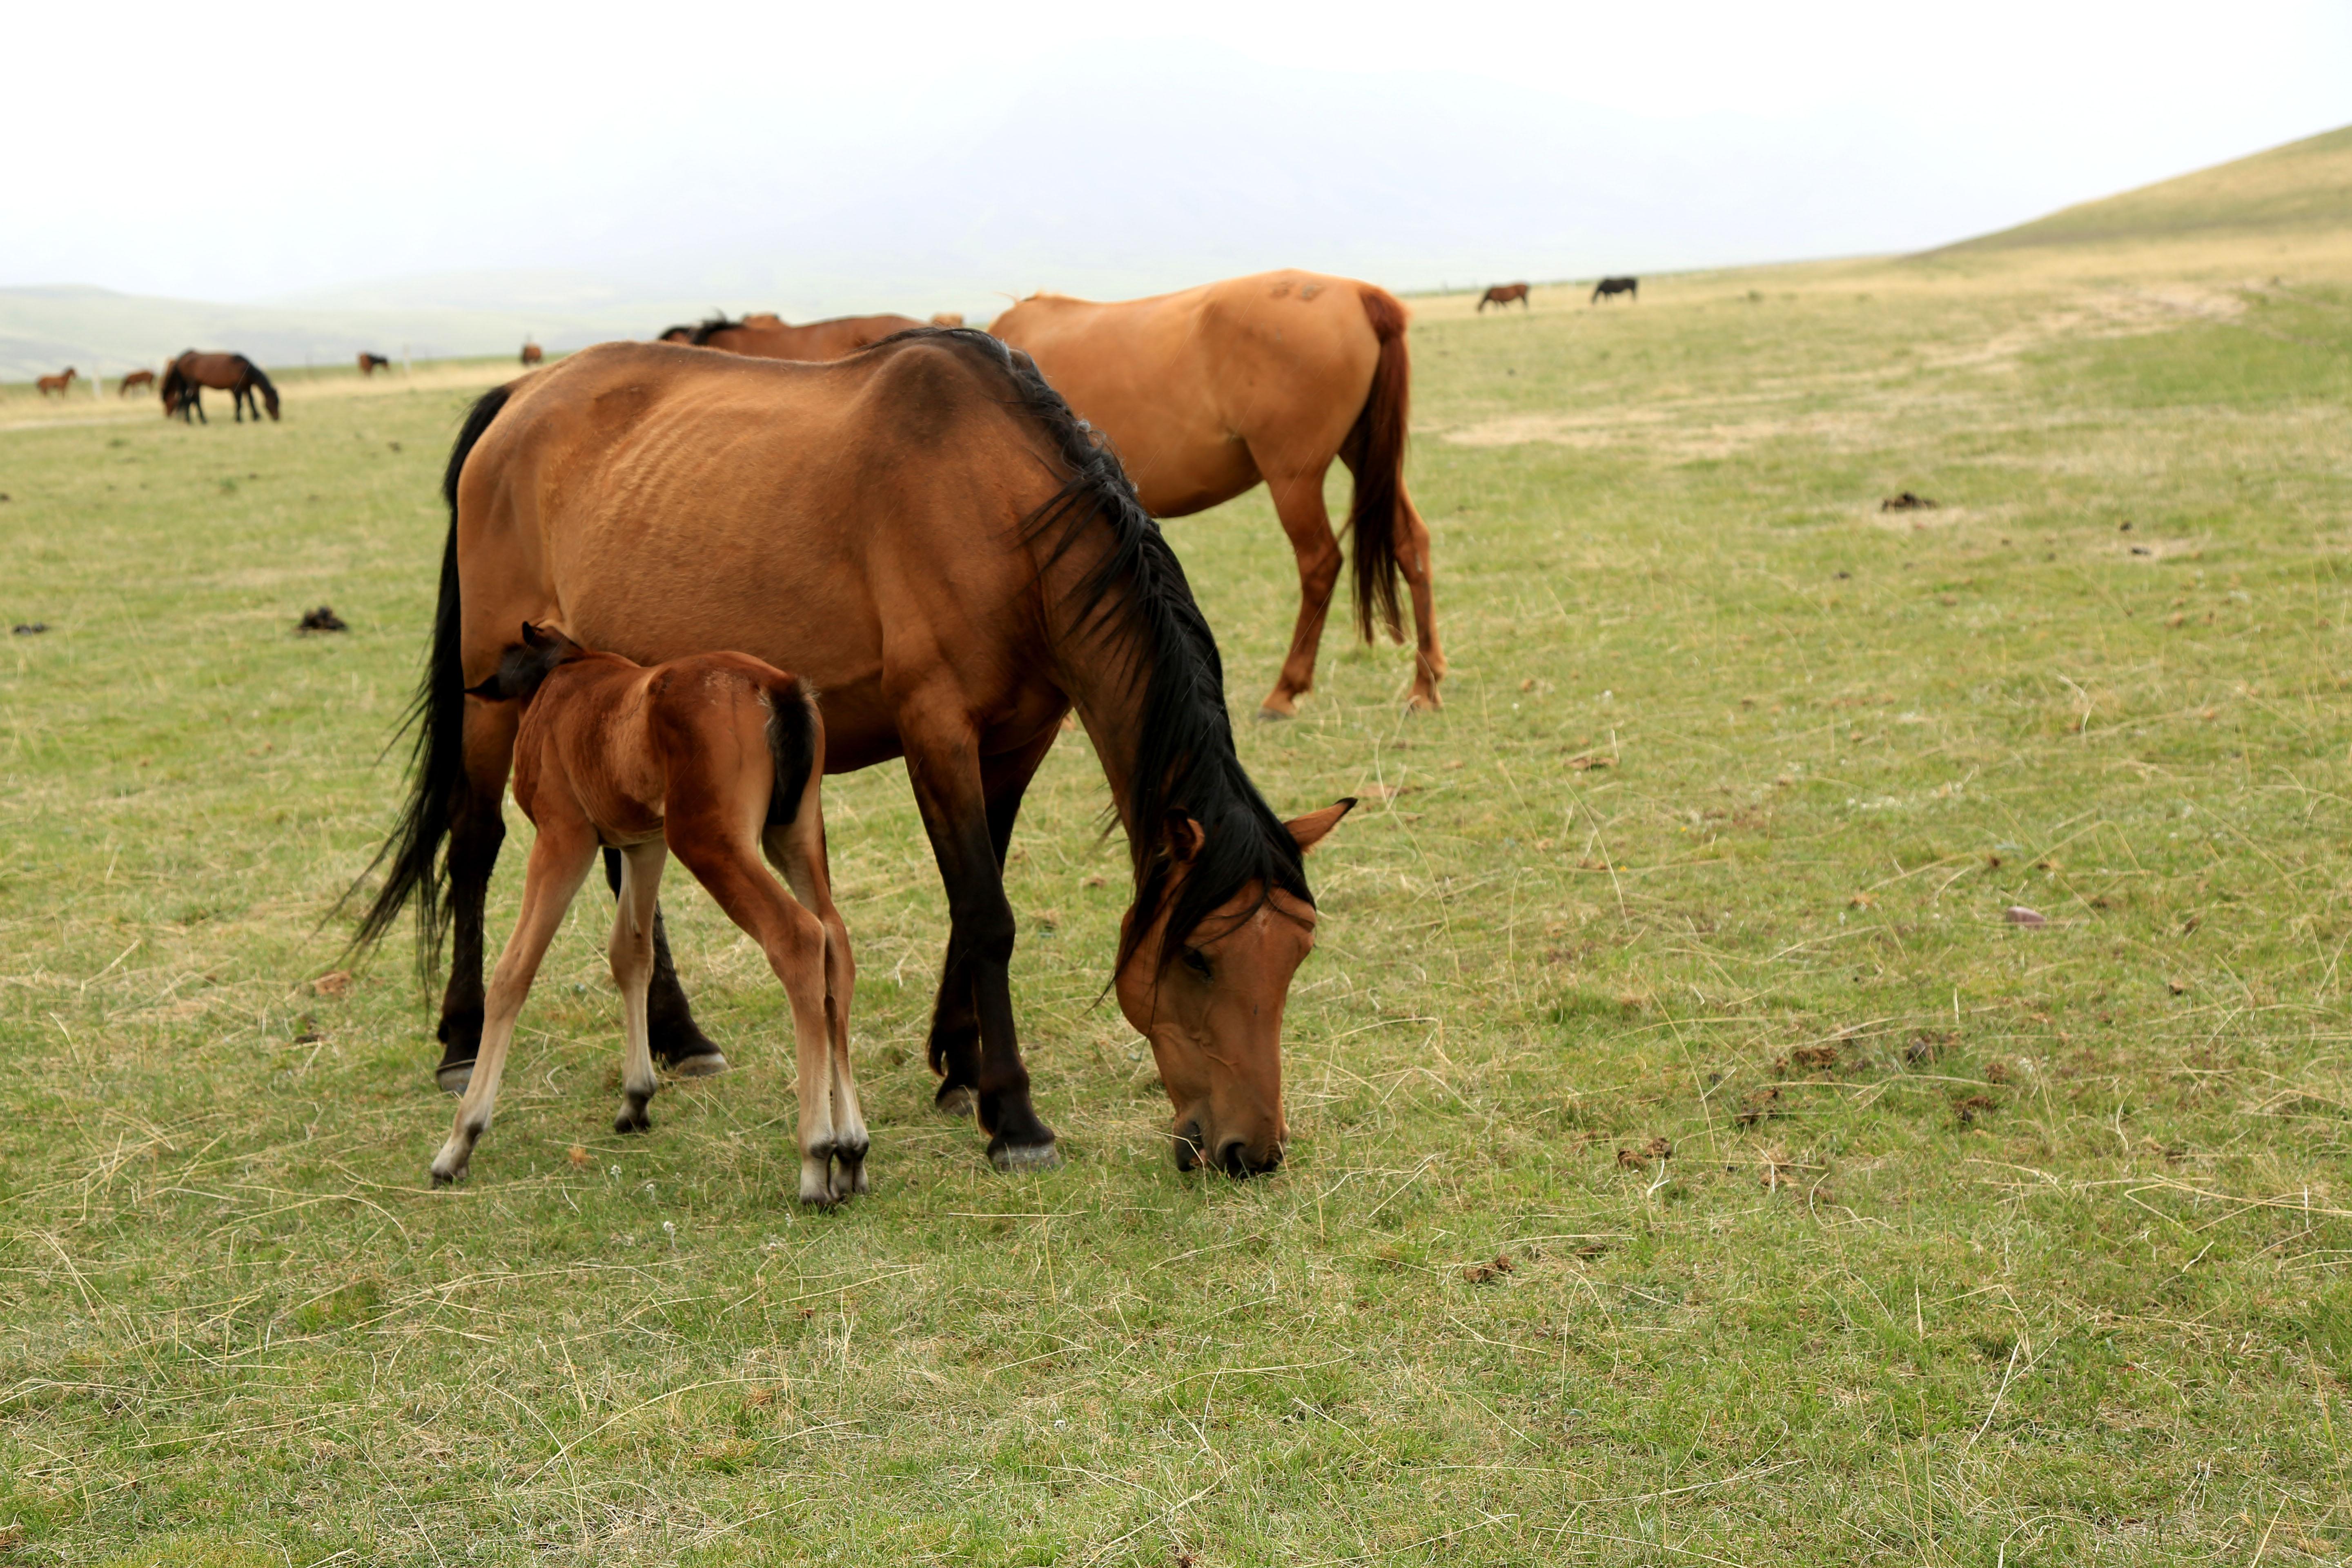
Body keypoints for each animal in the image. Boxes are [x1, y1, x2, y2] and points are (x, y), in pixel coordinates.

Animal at [158, 352, 277, 425]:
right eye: (274, 402)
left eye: (278, 402)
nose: (278, 418)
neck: (246, 369)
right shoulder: (236, 388)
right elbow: (239, 403)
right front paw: (239, 419)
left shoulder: (246, 387)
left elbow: (251, 401)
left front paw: (255, 417)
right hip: (193, 384)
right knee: (192, 400)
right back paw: (199, 420)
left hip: (191, 385)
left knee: (190, 400)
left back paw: (191, 419)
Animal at [428, 620, 870, 1203]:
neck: (564, 673)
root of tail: (777, 687)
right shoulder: (644, 845)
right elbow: (631, 953)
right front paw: (636, 1097)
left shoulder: (564, 838)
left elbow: (514, 971)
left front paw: (461, 1139)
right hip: (794, 836)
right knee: (834, 941)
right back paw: (852, 1150)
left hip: (710, 842)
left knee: (798, 936)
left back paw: (816, 1156)